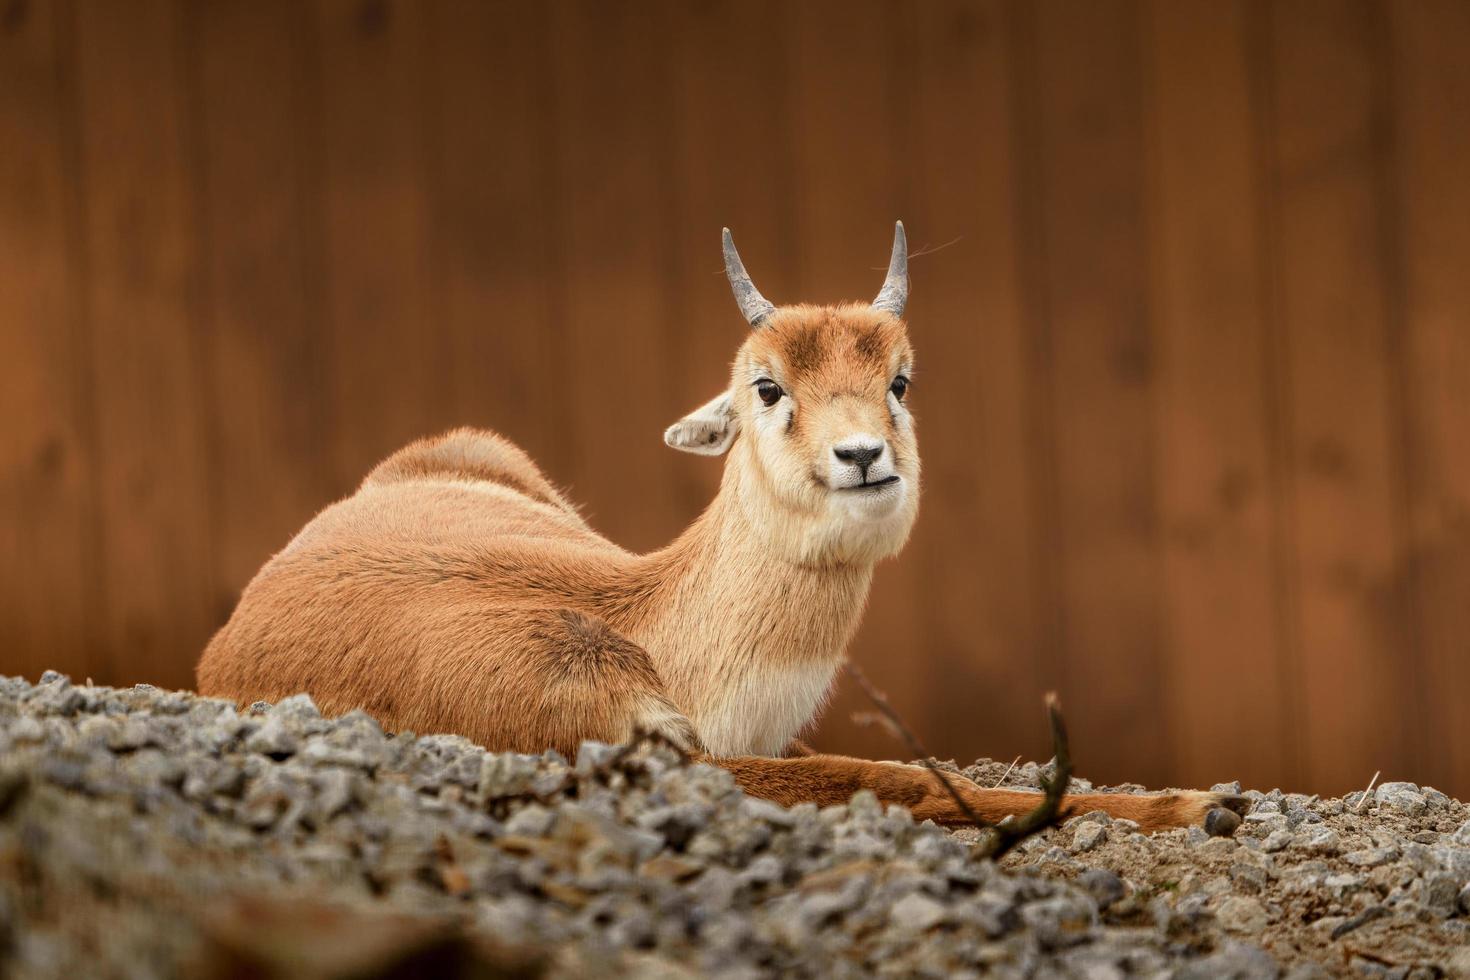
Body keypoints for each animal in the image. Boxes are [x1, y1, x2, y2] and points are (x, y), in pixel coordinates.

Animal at [201, 226, 1246, 834]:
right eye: (768, 386)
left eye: (900, 379)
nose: (863, 456)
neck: (657, 627)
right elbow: (893, 775)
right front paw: (1208, 804)